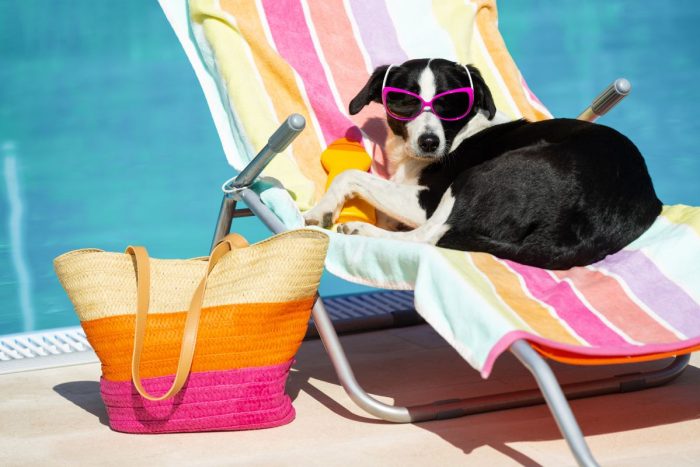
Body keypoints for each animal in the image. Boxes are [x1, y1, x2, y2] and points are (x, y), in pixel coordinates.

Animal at [302, 59, 660, 270]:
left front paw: (322, 210)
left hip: (476, 177)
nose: (429, 142)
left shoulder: (424, 203)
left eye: (451, 103)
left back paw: (360, 229)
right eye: (404, 102)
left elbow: (350, 176)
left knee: (429, 237)